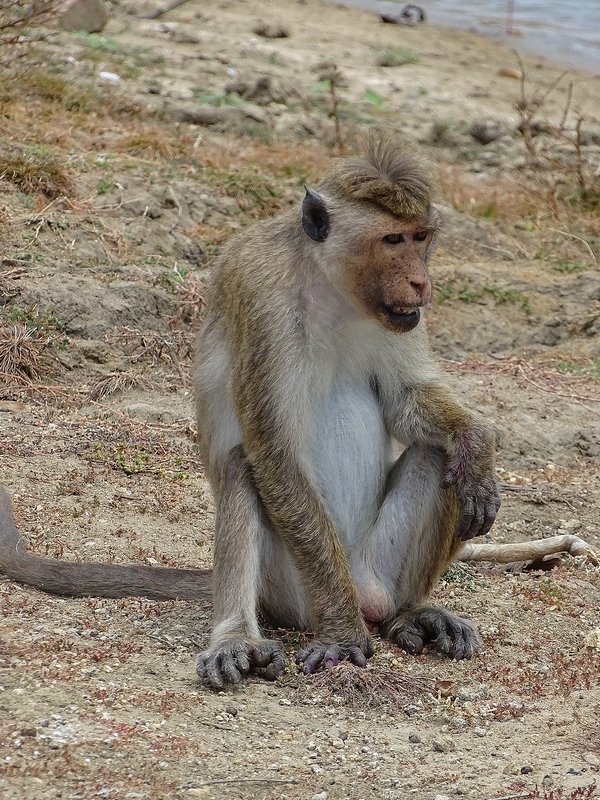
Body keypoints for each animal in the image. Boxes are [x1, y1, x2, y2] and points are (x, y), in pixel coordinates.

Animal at [0, 133, 501, 690]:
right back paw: (241, 635)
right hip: (289, 587)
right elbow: (273, 449)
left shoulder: (403, 318)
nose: (420, 282)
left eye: (421, 237)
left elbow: (406, 400)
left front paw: (475, 444)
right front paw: (342, 631)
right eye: (393, 240)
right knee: (243, 465)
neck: (330, 285)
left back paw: (407, 610)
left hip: (373, 569)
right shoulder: (264, 301)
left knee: (436, 457)